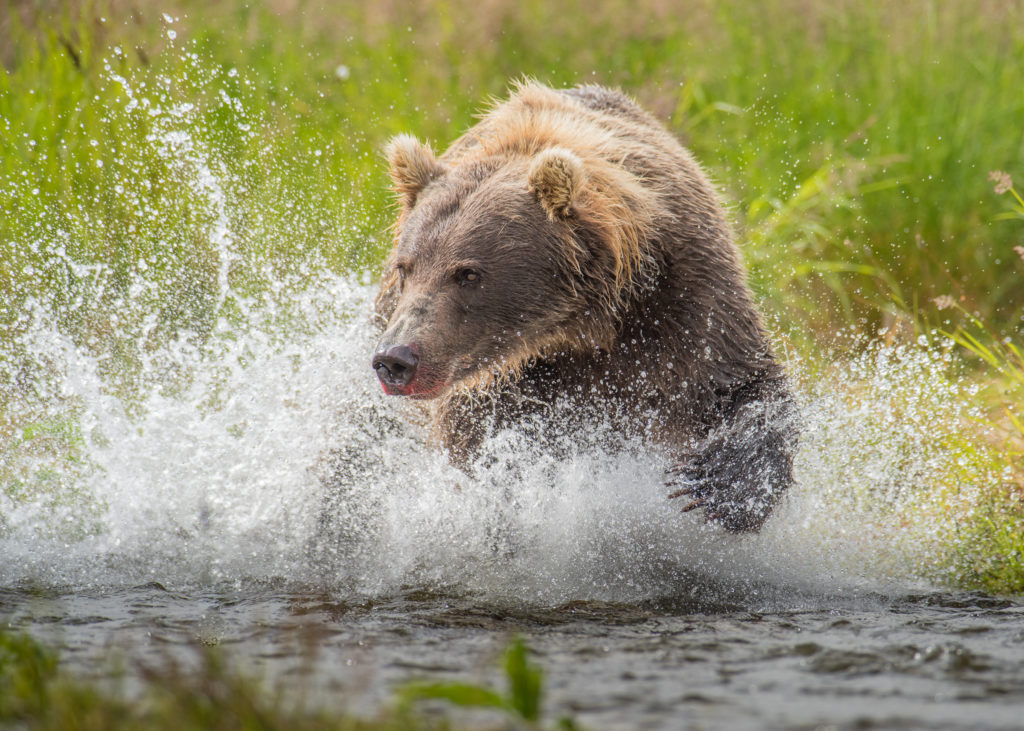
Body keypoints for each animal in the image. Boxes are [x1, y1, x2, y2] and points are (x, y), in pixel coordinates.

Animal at [372, 82, 794, 532]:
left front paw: (719, 485)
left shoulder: (684, 297)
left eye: (468, 274)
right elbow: (482, 449)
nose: (395, 358)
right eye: (406, 268)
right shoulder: (502, 388)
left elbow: (744, 381)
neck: (580, 325)